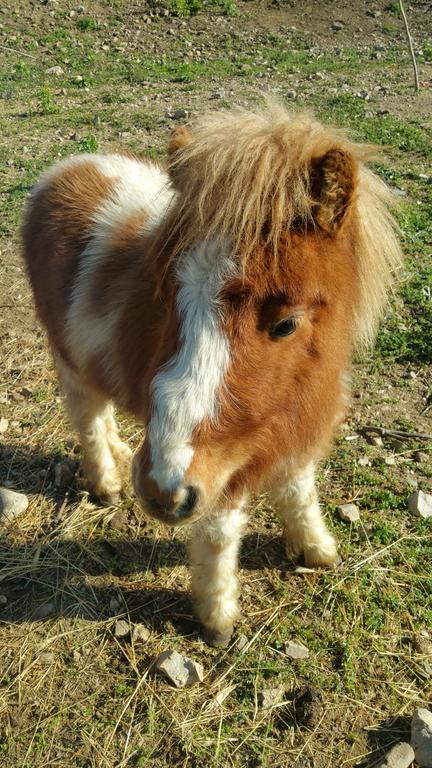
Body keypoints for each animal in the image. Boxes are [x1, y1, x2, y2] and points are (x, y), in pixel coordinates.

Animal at [23, 100, 402, 640]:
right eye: (168, 295)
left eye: (286, 323)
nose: (158, 490)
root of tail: (62, 171)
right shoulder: (221, 469)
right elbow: (220, 536)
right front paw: (217, 616)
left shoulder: (295, 431)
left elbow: (298, 490)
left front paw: (317, 549)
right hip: (69, 362)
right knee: (89, 419)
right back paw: (107, 482)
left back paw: (123, 454)